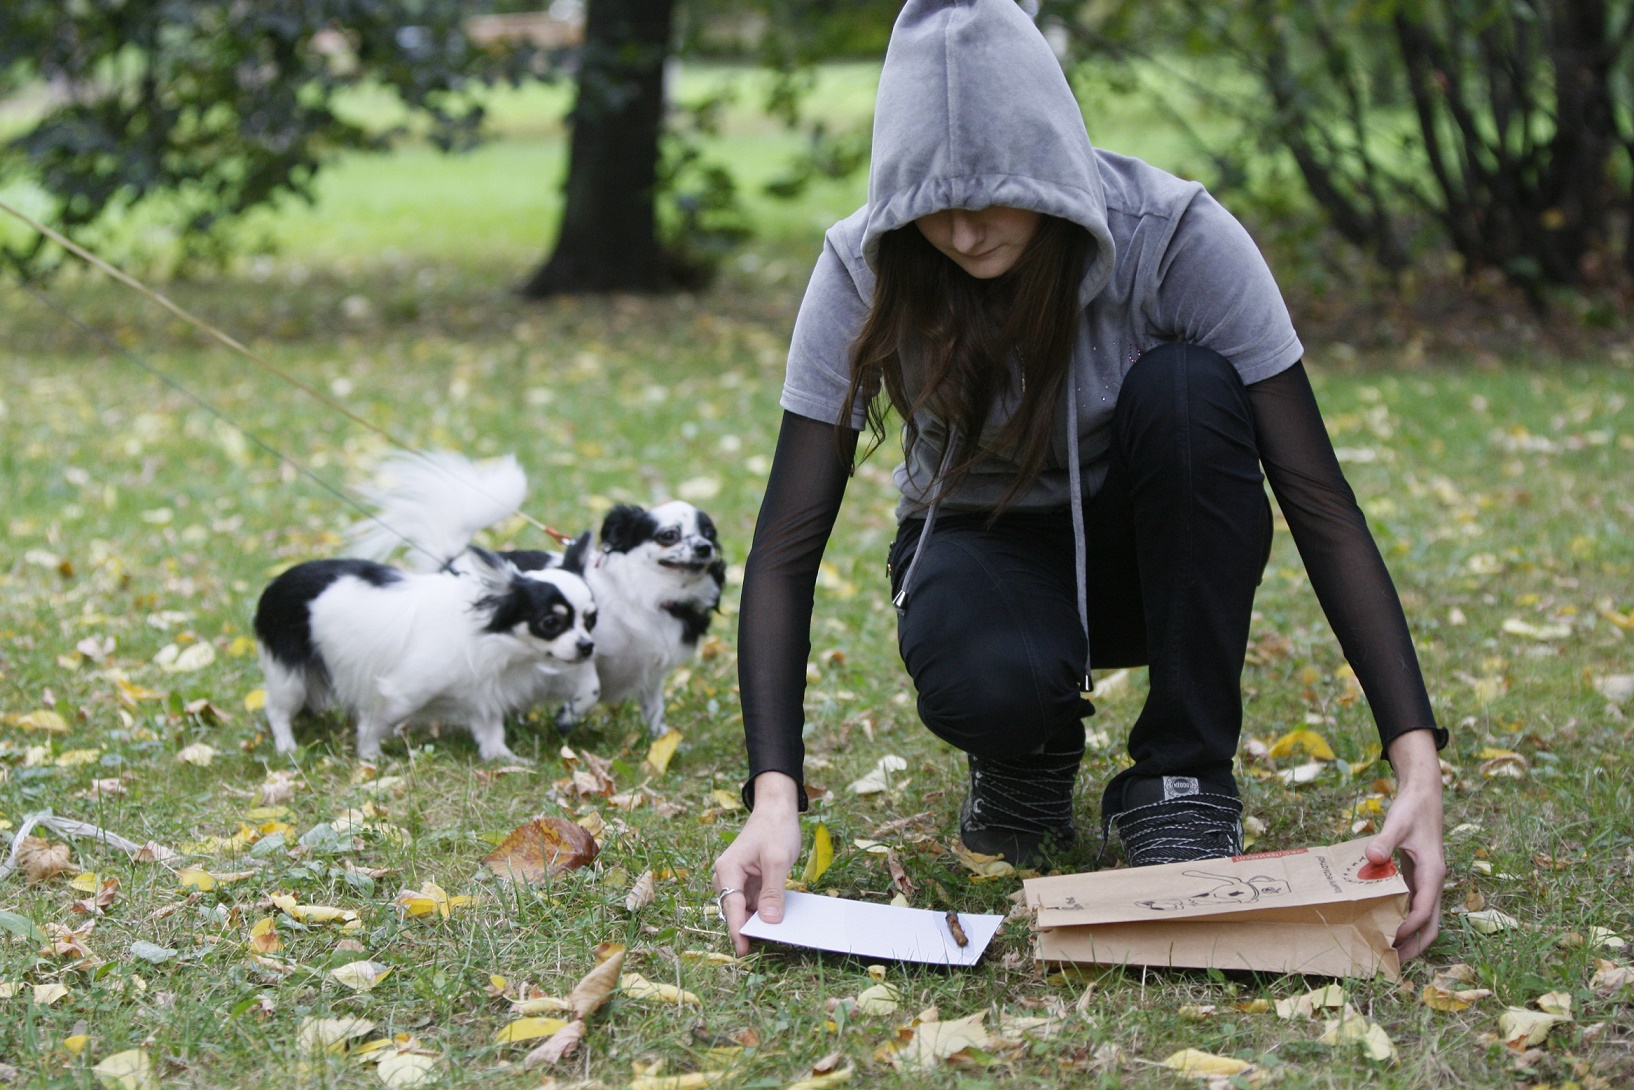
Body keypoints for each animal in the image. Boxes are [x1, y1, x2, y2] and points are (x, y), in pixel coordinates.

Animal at [258, 536, 604, 758]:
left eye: (591, 619)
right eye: (551, 622)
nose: (587, 646)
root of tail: (277, 582)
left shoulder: (484, 691)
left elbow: (490, 728)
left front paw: (502, 758)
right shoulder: (402, 693)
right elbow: (375, 722)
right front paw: (370, 756)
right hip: (289, 676)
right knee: (277, 709)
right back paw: (287, 746)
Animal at [357, 447, 728, 738]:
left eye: (710, 533)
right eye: (669, 535)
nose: (704, 548)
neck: (649, 598)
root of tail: (451, 563)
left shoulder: (650, 672)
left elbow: (653, 706)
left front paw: (660, 740)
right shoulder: (576, 651)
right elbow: (591, 687)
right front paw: (567, 717)